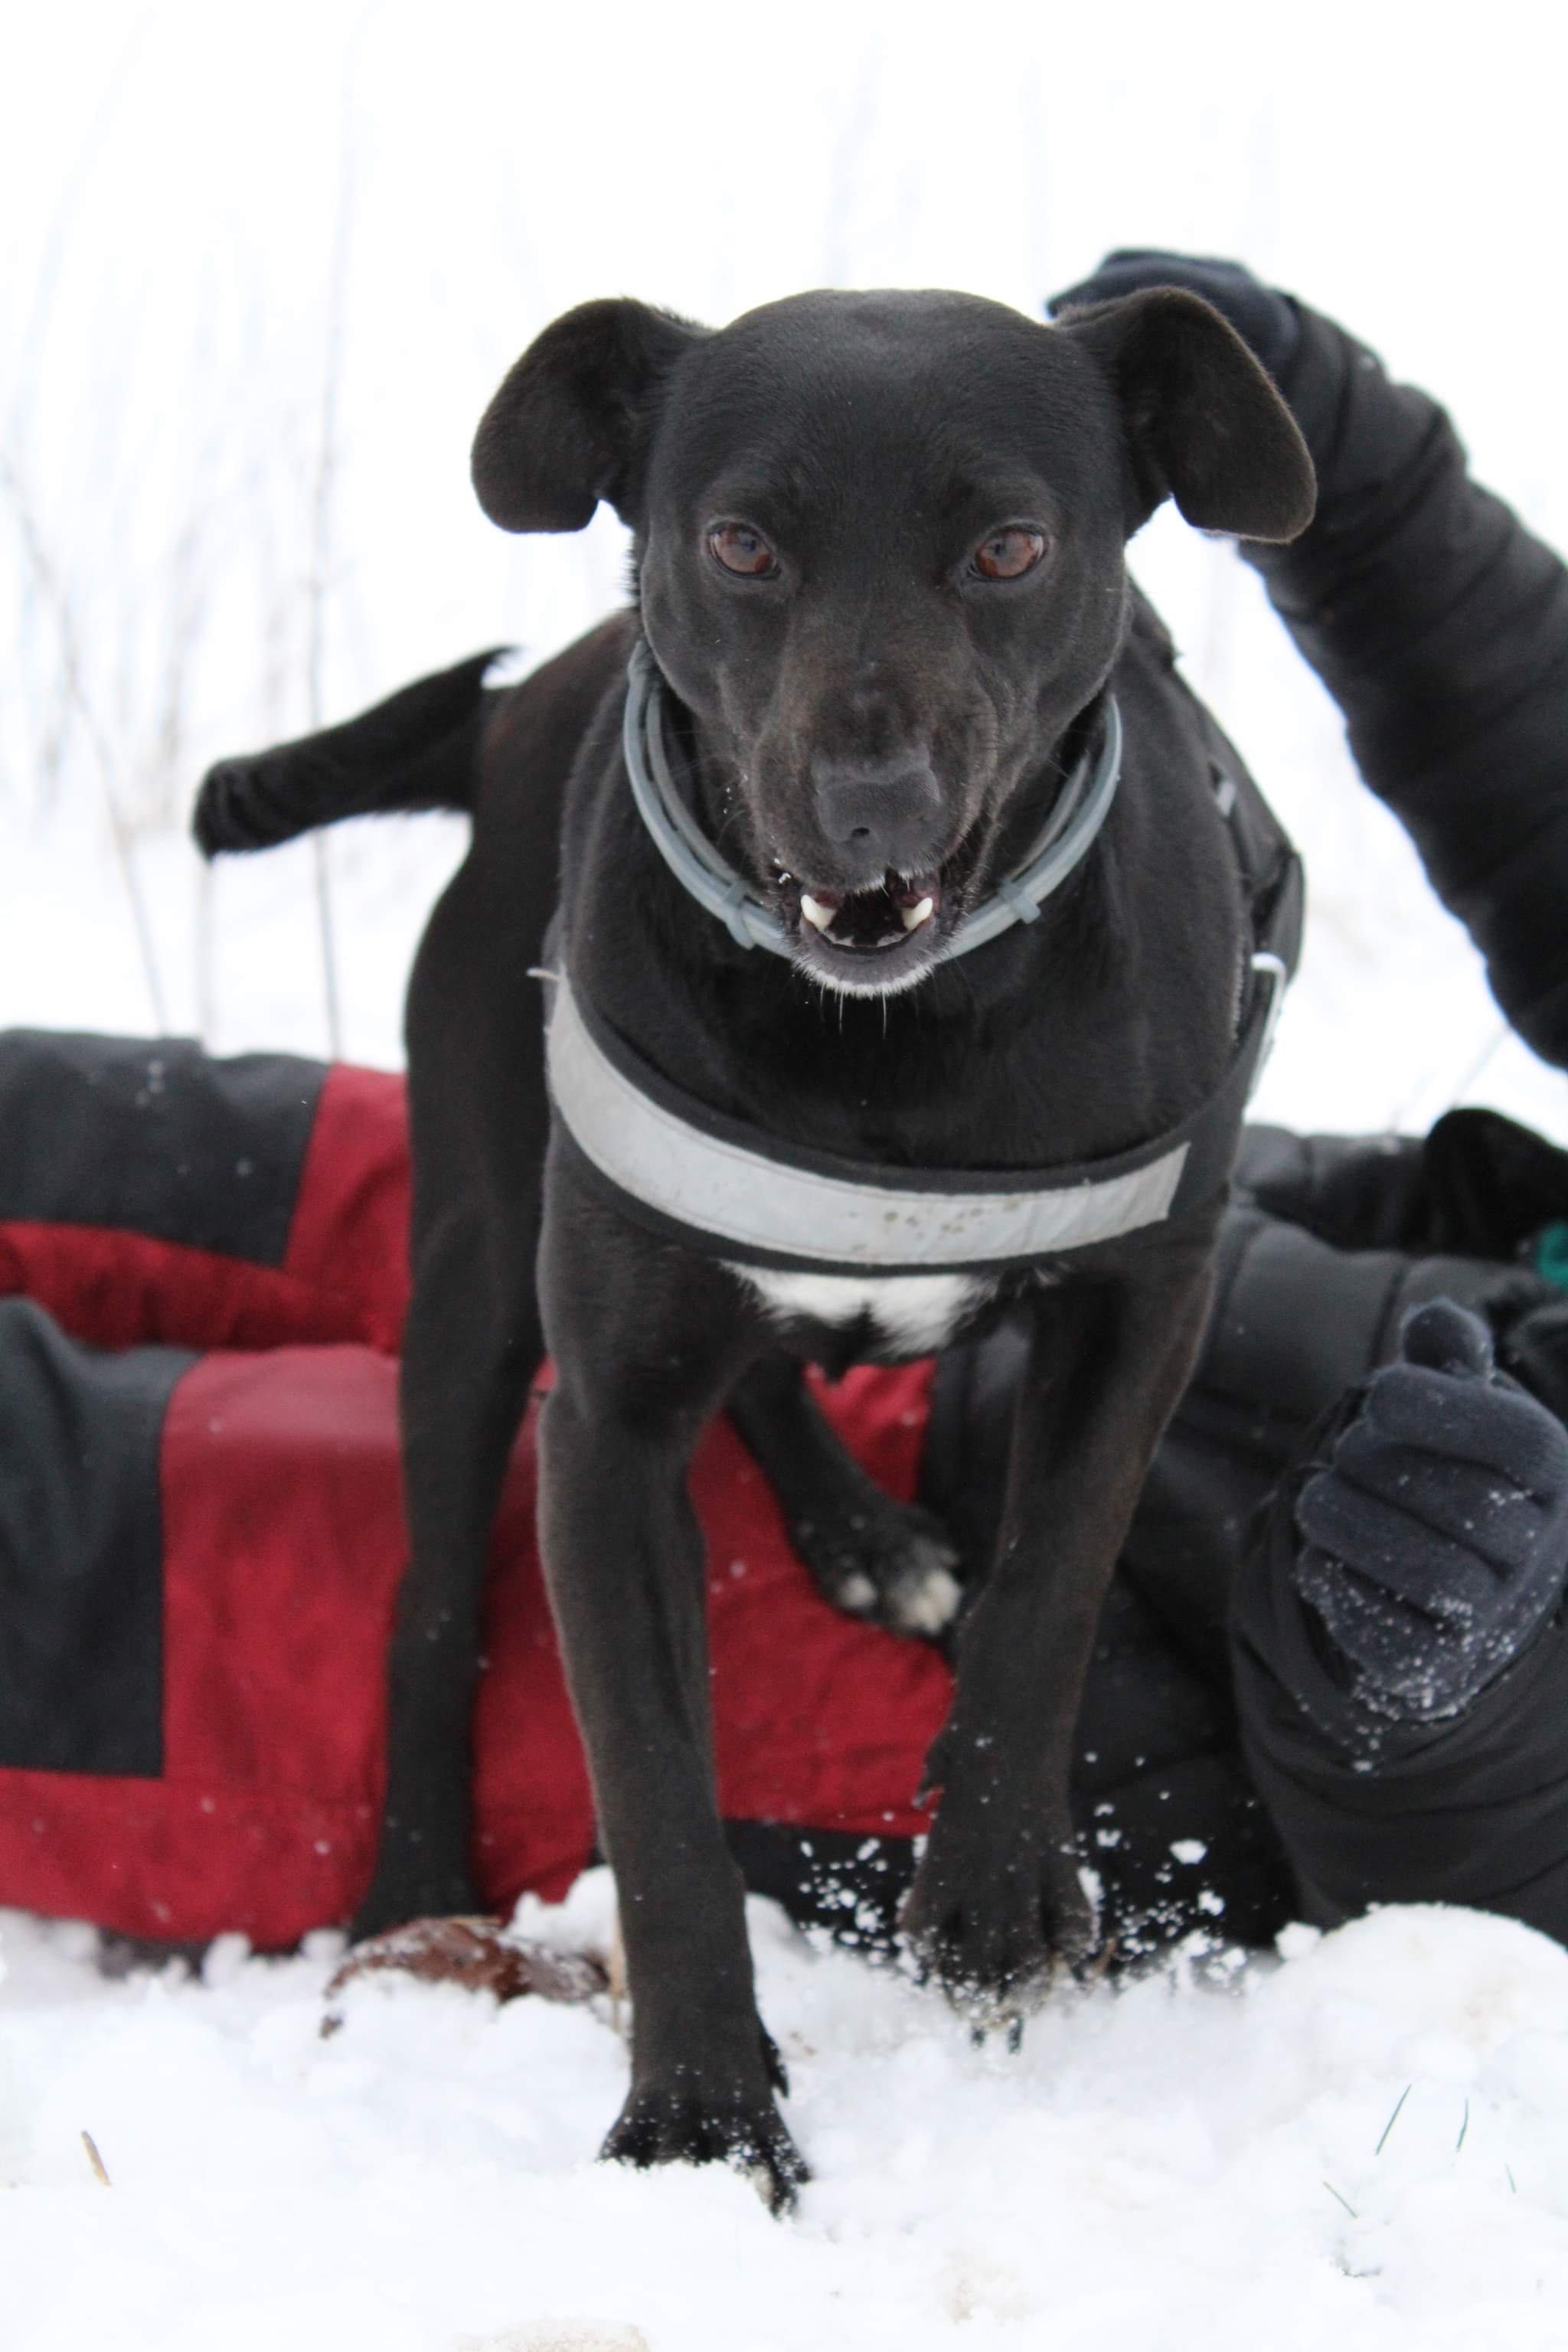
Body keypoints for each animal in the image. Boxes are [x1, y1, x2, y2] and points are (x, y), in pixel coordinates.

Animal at [202, 279, 1316, 2201]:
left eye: (1009, 546)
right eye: (738, 543)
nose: (867, 804)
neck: (883, 1039)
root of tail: (499, 721)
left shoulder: (1145, 1300)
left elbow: (1049, 1577)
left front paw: (991, 1882)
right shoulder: (604, 1429)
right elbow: (655, 1795)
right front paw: (703, 2108)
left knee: (779, 1371)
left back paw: (867, 1538)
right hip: (478, 1271)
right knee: (435, 1593)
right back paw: (414, 1886)